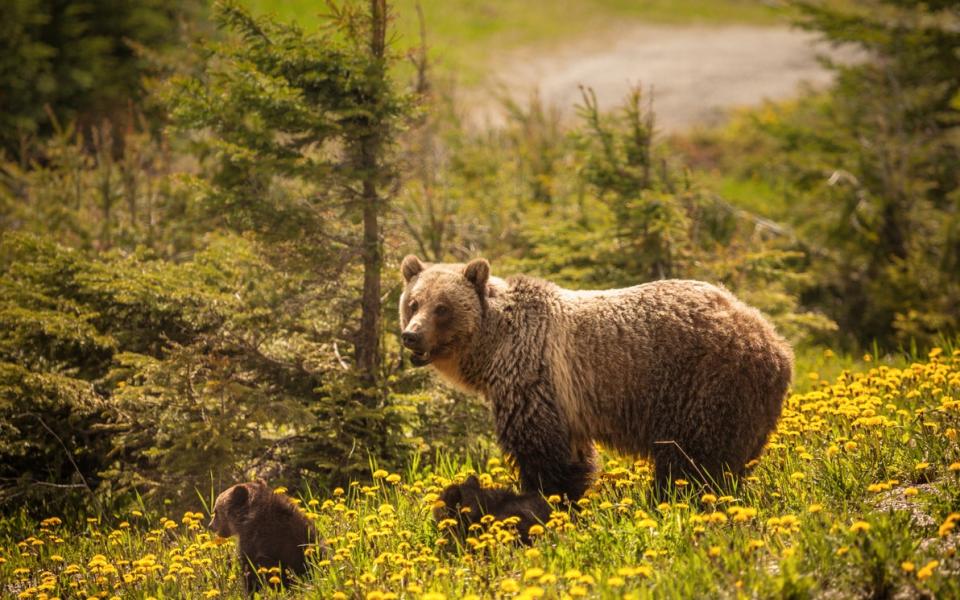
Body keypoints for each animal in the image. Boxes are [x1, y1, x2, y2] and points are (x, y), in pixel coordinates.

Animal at [400, 254, 796, 528]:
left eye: (442, 307)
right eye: (412, 303)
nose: (411, 336)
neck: (493, 348)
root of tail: (774, 341)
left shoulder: (533, 378)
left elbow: (543, 454)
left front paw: (542, 501)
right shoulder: (564, 402)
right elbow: (574, 458)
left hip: (706, 384)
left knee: (695, 460)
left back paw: (673, 501)